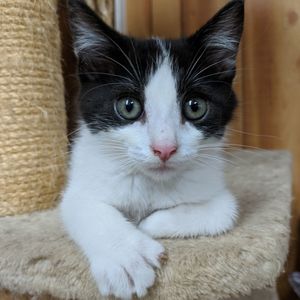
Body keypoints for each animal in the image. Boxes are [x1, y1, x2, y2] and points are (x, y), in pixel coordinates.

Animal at [60, 0, 244, 298]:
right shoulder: (82, 182)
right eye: (128, 106)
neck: (150, 185)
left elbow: (226, 210)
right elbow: (84, 207)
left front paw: (147, 225)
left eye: (195, 107)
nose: (164, 149)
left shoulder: (214, 186)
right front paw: (125, 259)